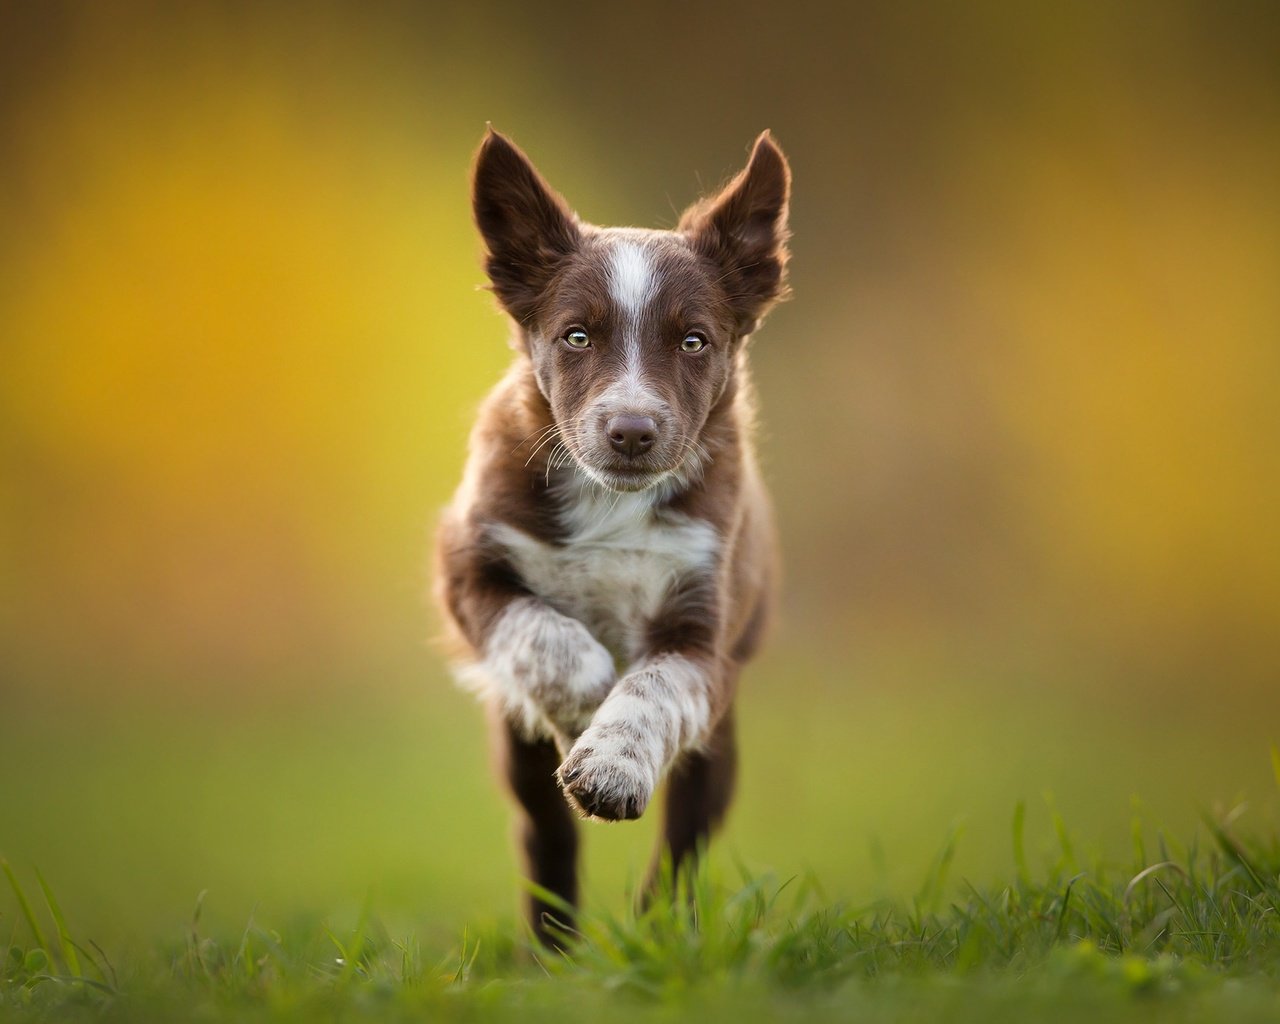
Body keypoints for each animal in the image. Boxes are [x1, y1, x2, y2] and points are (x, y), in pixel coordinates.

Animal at [435, 128, 783, 942]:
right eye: (576, 336)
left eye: (694, 342)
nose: (631, 431)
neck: (610, 500)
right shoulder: (466, 565)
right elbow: (542, 633)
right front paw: (585, 703)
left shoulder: (703, 632)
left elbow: (651, 688)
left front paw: (609, 763)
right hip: (518, 754)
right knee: (545, 834)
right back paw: (552, 948)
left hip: (718, 747)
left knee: (686, 840)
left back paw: (659, 929)